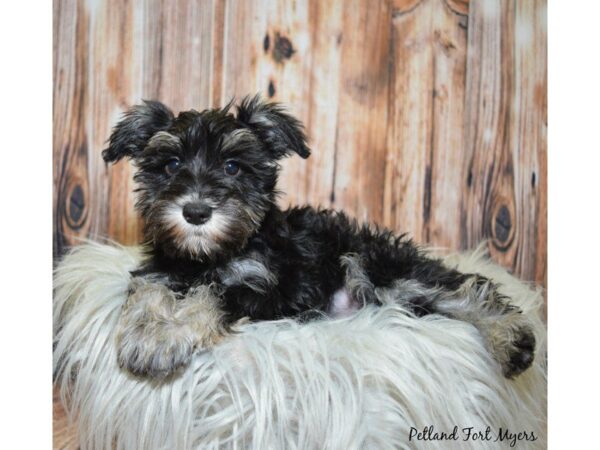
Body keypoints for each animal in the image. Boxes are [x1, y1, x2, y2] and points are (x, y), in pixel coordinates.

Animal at [102, 95, 536, 380]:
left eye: (232, 167)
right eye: (171, 164)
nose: (195, 212)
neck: (210, 255)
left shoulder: (264, 289)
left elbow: (212, 295)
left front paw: (165, 337)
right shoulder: (160, 270)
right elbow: (148, 291)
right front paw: (147, 334)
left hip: (380, 268)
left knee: (470, 288)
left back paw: (512, 339)